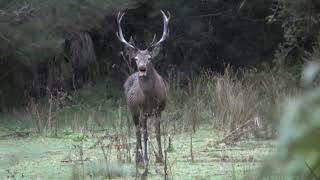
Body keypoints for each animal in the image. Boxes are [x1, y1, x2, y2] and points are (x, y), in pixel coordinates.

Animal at [115, 9, 170, 165]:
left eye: (149, 58)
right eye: (136, 58)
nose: (141, 68)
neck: (150, 98)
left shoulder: (158, 110)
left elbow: (158, 133)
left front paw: (160, 157)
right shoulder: (142, 111)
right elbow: (145, 135)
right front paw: (146, 158)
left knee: (140, 131)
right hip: (132, 111)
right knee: (137, 131)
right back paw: (138, 158)